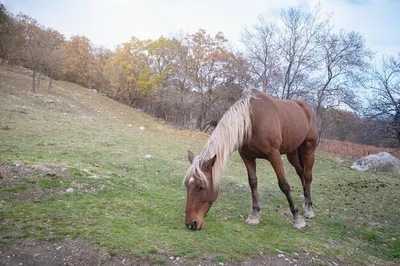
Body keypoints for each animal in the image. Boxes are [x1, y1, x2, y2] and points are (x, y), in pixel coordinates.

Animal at [183, 90, 318, 231]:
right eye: (187, 185)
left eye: (201, 187)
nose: (191, 223)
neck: (251, 121)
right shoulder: (247, 156)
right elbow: (253, 182)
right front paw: (254, 215)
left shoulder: (274, 155)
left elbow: (284, 185)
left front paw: (297, 219)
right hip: (292, 153)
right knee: (301, 173)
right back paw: (305, 202)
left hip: (308, 148)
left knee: (307, 176)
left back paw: (309, 209)